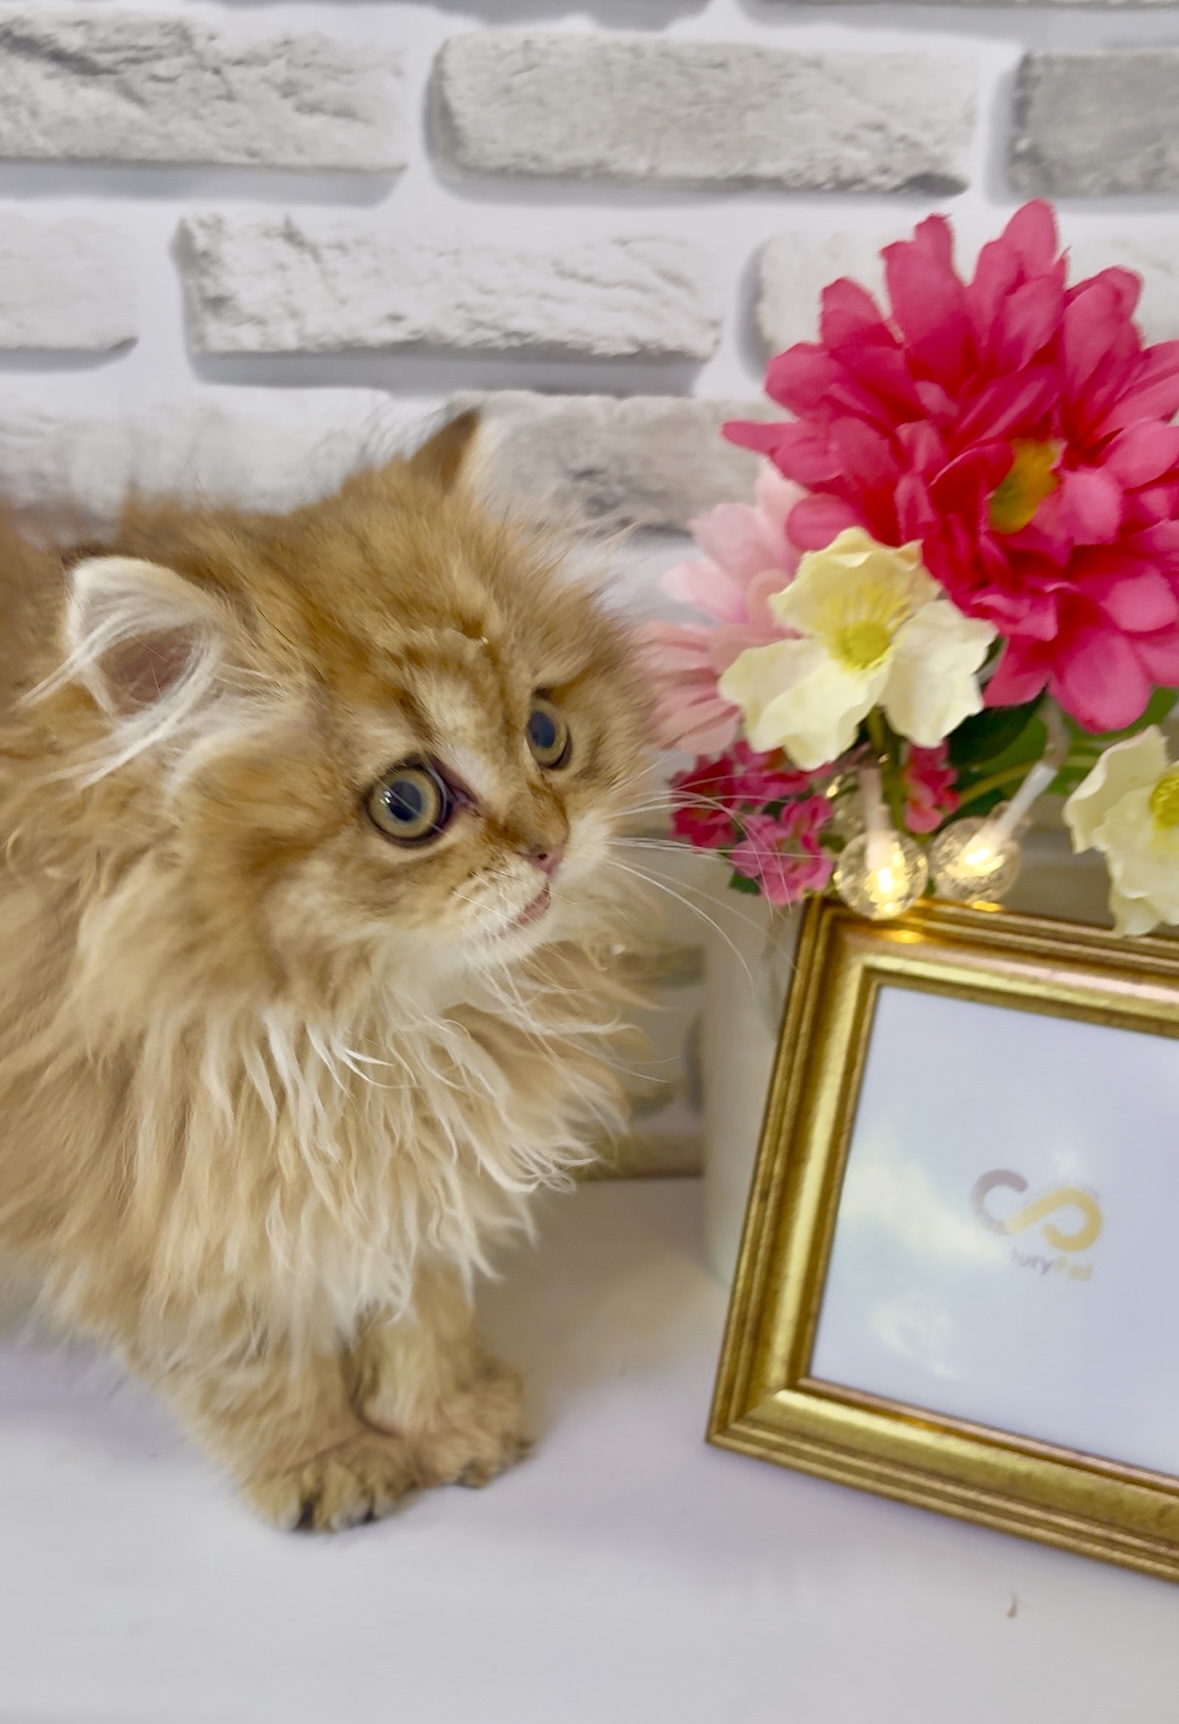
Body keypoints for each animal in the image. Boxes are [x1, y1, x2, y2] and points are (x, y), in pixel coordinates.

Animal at [0, 411, 650, 1529]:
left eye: (546, 733)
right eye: (406, 804)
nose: (550, 845)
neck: (372, 1028)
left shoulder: (411, 1177)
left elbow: (420, 1304)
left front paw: (445, 1419)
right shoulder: (158, 1207)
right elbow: (253, 1363)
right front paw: (325, 1461)